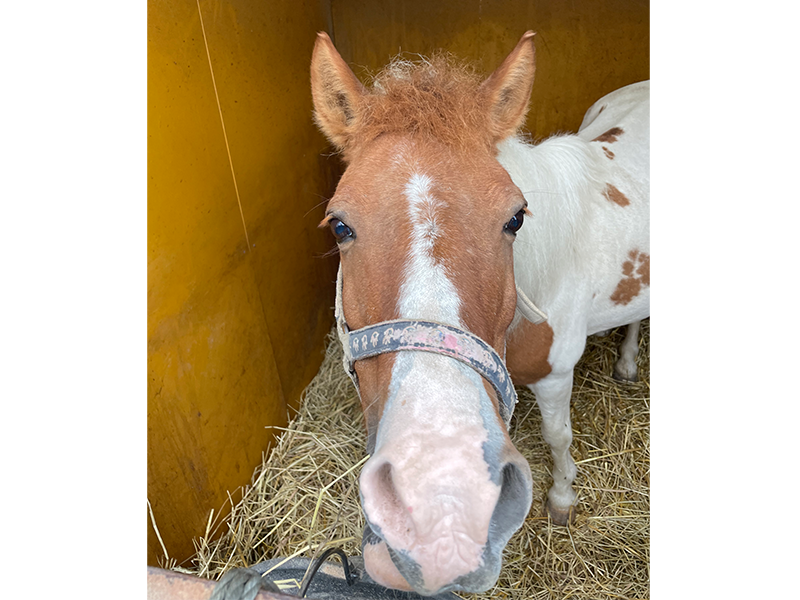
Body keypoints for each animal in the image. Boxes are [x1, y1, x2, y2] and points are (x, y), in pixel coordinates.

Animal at [310, 31, 648, 596]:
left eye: (515, 218)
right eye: (339, 226)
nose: (442, 502)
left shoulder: (556, 374)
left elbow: (558, 438)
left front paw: (562, 501)